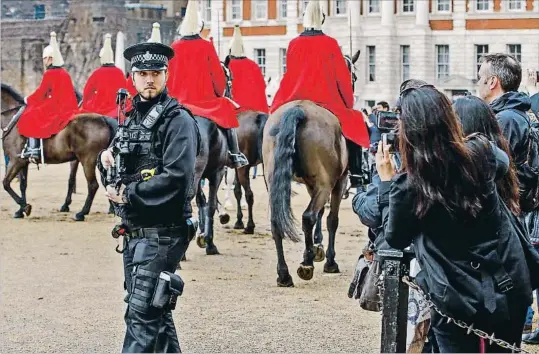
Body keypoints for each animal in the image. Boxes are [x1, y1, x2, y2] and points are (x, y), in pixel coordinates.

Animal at [2, 84, 116, 220]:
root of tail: (103, 119)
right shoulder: (23, 162)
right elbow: (22, 185)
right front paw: (20, 210)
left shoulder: (15, 161)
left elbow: (6, 184)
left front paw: (25, 207)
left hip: (88, 160)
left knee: (93, 185)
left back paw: (82, 213)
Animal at [262, 50, 360, 288]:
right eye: (352, 76)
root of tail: (298, 109)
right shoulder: (339, 181)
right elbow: (332, 219)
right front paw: (328, 260)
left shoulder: (311, 184)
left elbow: (322, 212)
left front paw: (317, 246)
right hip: (327, 184)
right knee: (308, 216)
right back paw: (305, 264)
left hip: (275, 181)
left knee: (277, 222)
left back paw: (284, 274)